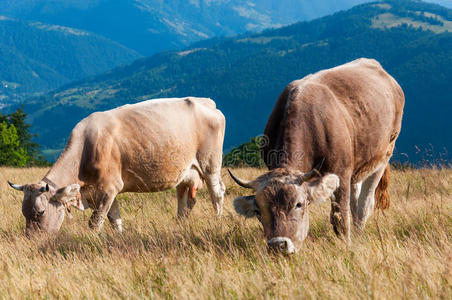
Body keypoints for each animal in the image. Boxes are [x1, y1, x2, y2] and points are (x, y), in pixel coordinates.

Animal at [9, 97, 230, 236]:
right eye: (24, 212)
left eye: (40, 213)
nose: (32, 240)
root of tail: (206, 102)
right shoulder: (105, 191)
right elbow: (115, 220)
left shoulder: (108, 188)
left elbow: (95, 222)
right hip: (186, 172)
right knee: (185, 201)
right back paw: (180, 226)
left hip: (210, 164)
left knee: (217, 194)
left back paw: (218, 221)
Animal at [231, 58, 404, 253]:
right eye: (259, 211)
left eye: (298, 204)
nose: (278, 245)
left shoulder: (341, 173)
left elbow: (340, 217)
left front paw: (346, 246)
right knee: (355, 199)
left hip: (384, 154)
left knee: (364, 204)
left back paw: (359, 234)